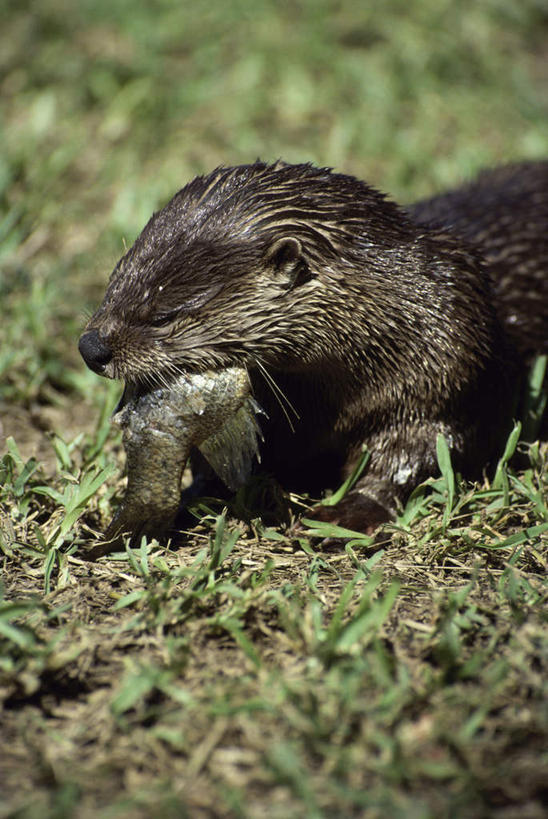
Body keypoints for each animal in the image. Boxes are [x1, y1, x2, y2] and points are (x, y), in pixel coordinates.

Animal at [78, 160, 548, 532]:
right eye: (113, 285)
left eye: (164, 316)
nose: (91, 347)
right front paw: (194, 497)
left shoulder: (448, 372)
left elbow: (413, 456)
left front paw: (345, 515)